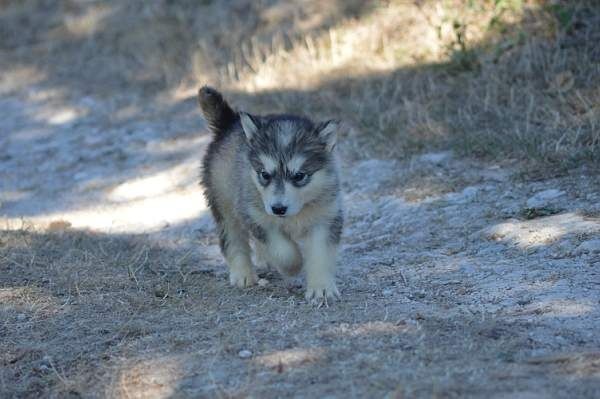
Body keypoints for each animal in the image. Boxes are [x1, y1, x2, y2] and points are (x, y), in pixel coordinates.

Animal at [198, 87, 342, 304]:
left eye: (299, 176)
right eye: (265, 174)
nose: (278, 209)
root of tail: (229, 124)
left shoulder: (326, 219)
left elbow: (320, 254)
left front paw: (321, 288)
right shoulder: (255, 216)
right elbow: (283, 250)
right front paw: (294, 265)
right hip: (224, 203)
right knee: (233, 239)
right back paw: (243, 274)